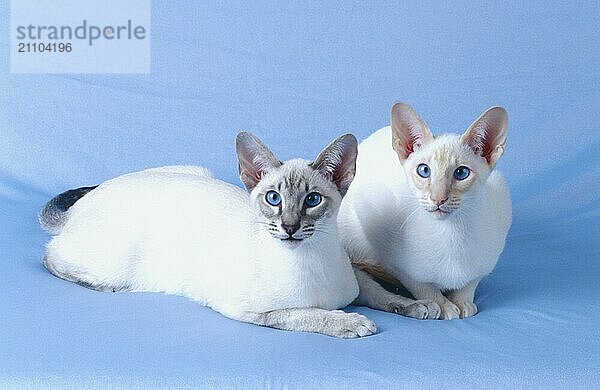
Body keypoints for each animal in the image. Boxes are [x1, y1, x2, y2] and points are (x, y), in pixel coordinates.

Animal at [39, 132, 376, 338]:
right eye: (273, 199)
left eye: (312, 200)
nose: (290, 227)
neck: (312, 259)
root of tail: (83, 203)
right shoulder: (251, 311)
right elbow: (307, 313)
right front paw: (352, 322)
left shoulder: (355, 279)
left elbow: (377, 292)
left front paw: (389, 306)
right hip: (114, 264)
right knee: (49, 257)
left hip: (195, 169)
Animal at [340, 103, 512, 320]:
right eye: (424, 171)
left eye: (461, 173)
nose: (438, 198)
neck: (451, 234)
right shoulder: (387, 248)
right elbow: (420, 284)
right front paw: (444, 305)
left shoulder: (501, 199)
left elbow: (472, 280)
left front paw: (463, 301)